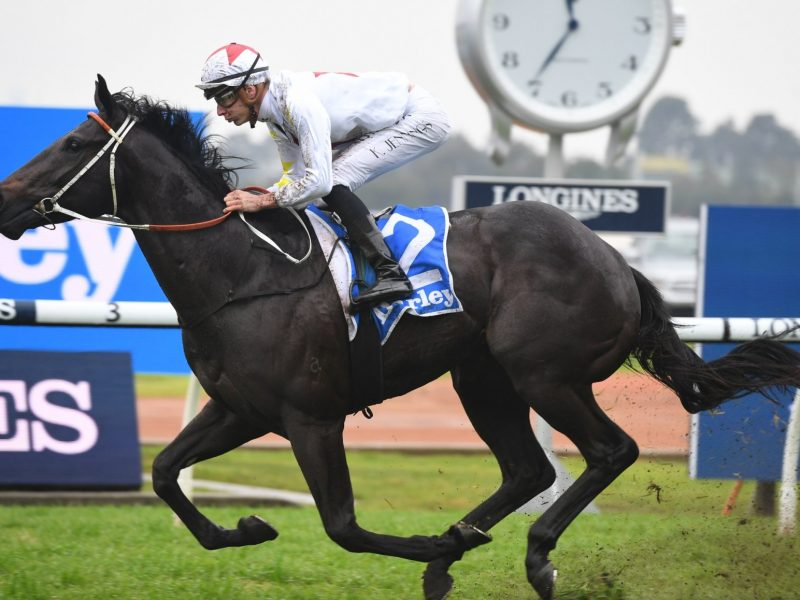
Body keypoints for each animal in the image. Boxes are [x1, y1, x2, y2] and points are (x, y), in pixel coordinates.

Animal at [1, 76, 798, 600]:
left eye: (73, 140)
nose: (6, 200)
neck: (245, 269)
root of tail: (615, 260)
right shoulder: (240, 410)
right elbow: (166, 473)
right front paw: (247, 530)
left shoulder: (310, 417)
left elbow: (343, 526)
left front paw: (427, 543)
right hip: (483, 377)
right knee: (527, 470)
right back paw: (461, 548)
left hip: (544, 373)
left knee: (611, 450)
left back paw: (531, 555)